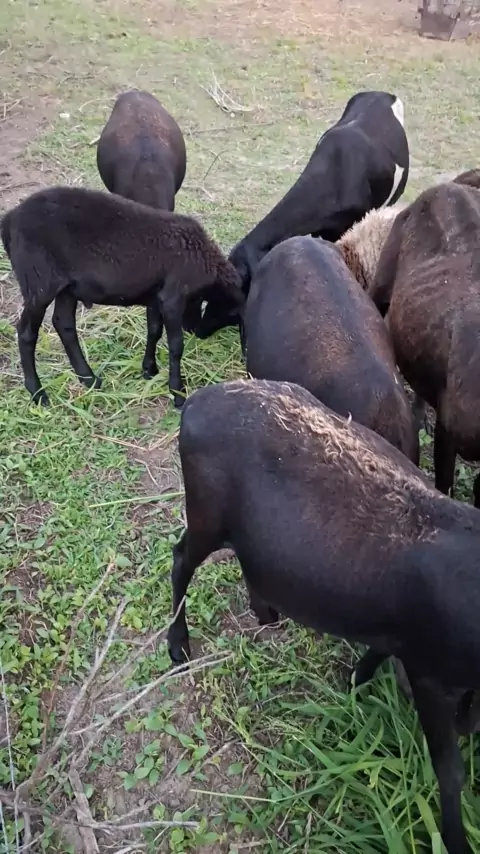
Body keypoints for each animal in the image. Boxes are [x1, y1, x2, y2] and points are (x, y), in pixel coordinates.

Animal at [1, 185, 244, 408]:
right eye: (231, 312)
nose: (200, 333)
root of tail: (10, 219)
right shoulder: (172, 298)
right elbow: (176, 346)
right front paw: (178, 394)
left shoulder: (156, 296)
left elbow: (154, 331)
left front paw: (149, 370)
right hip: (39, 282)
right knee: (27, 333)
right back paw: (38, 392)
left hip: (67, 287)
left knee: (64, 324)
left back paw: (89, 379)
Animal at [167, 376, 480, 854]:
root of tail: (198, 402)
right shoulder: (430, 674)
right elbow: (450, 772)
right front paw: (455, 839)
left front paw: (354, 681)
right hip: (206, 516)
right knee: (180, 560)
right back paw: (177, 644)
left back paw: (265, 612)